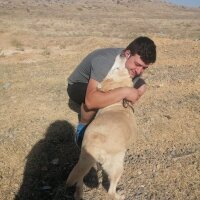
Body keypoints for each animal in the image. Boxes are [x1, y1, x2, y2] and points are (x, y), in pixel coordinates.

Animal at [66, 55, 138, 200]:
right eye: (116, 68)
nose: (124, 54)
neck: (118, 103)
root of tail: (94, 146)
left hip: (83, 161)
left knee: (80, 179)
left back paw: (79, 193)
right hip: (117, 166)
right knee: (110, 191)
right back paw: (119, 195)